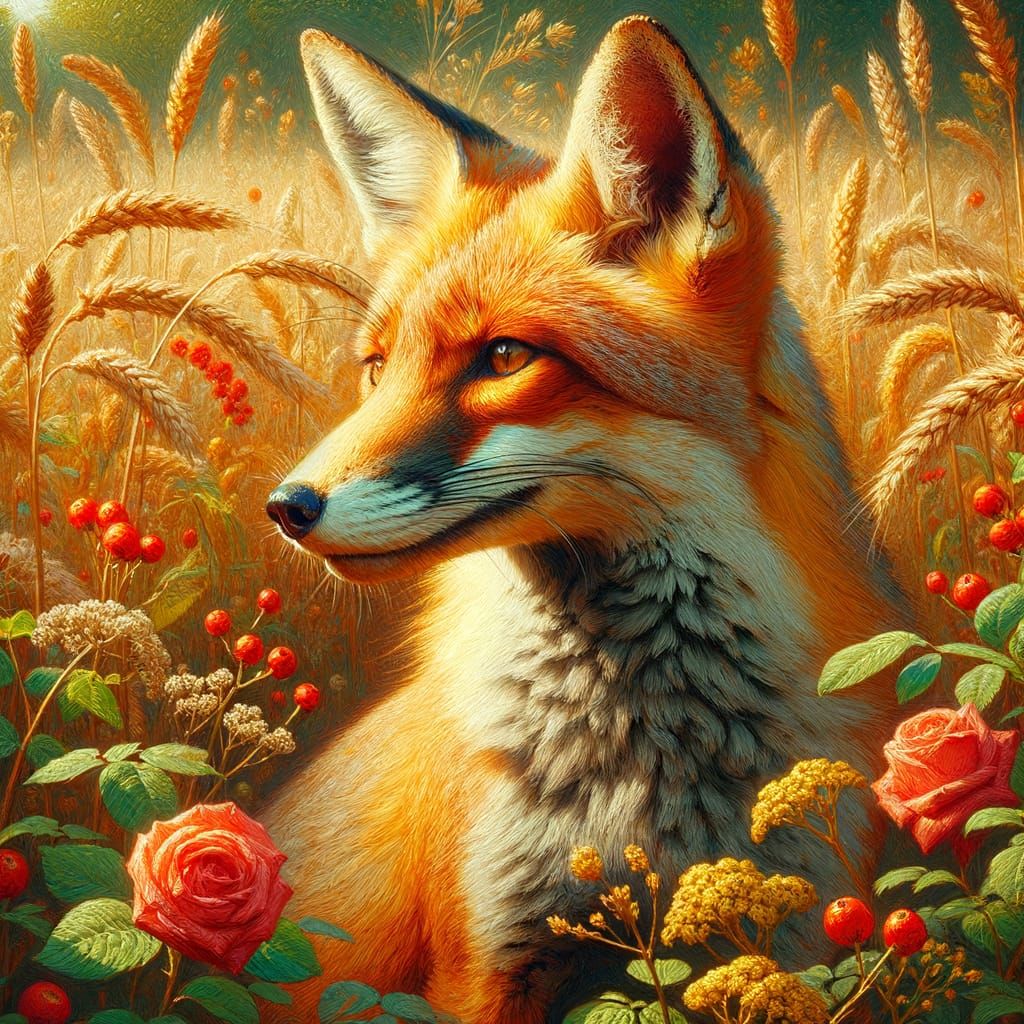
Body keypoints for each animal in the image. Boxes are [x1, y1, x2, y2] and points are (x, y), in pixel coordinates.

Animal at [264, 15, 906, 1024]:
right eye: (377, 367)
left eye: (504, 357)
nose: (287, 508)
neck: (642, 773)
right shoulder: (491, 956)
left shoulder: (790, 936)